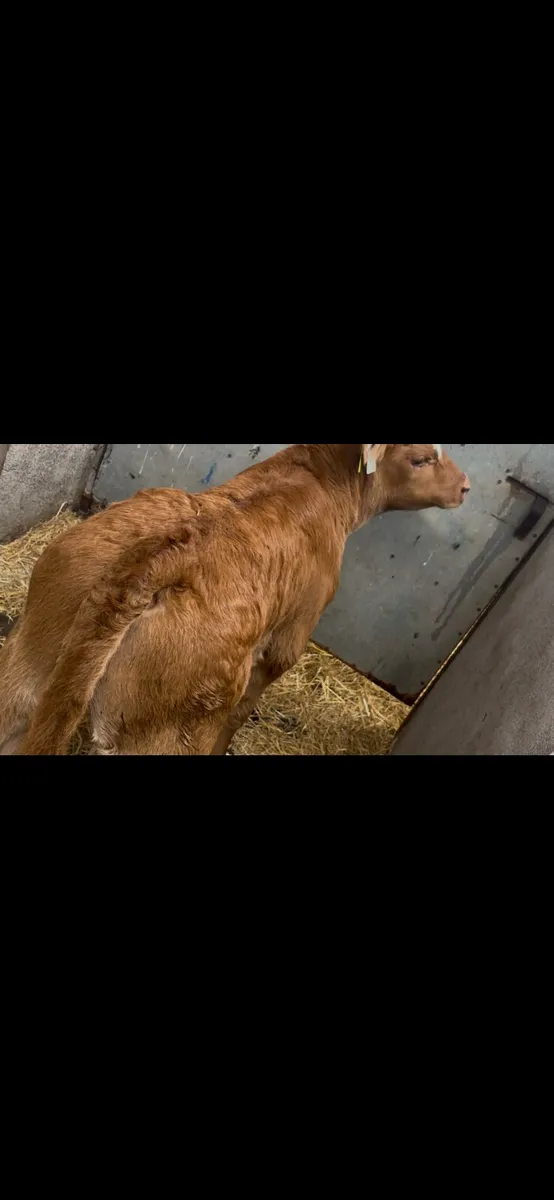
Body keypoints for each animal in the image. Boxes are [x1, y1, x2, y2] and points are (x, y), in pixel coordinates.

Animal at [0, 443, 470, 756]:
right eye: (421, 459)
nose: (466, 487)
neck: (318, 483)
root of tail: (162, 558)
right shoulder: (290, 637)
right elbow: (243, 709)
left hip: (29, 662)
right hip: (171, 730)